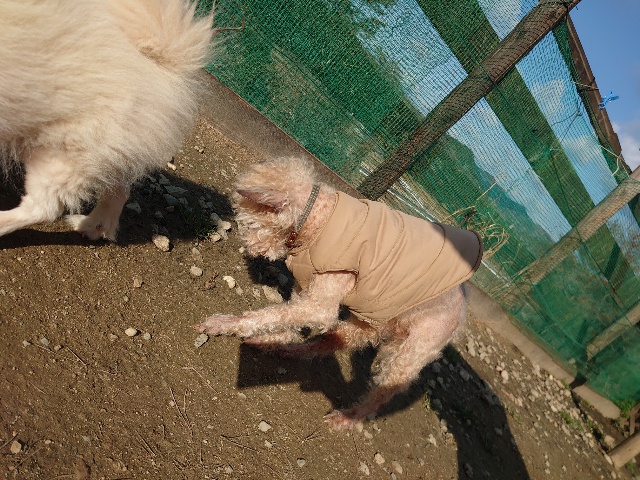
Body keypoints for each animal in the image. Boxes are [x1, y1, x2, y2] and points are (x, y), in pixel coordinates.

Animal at [195, 157, 483, 430]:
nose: (250, 249)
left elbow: (271, 315)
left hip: (412, 351)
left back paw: (348, 418)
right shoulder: (306, 288)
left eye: (249, 222)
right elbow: (285, 316)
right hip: (372, 321)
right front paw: (272, 340)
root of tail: (463, 308)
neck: (317, 220)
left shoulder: (322, 301)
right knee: (337, 338)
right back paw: (292, 351)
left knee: (383, 392)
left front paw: (224, 324)